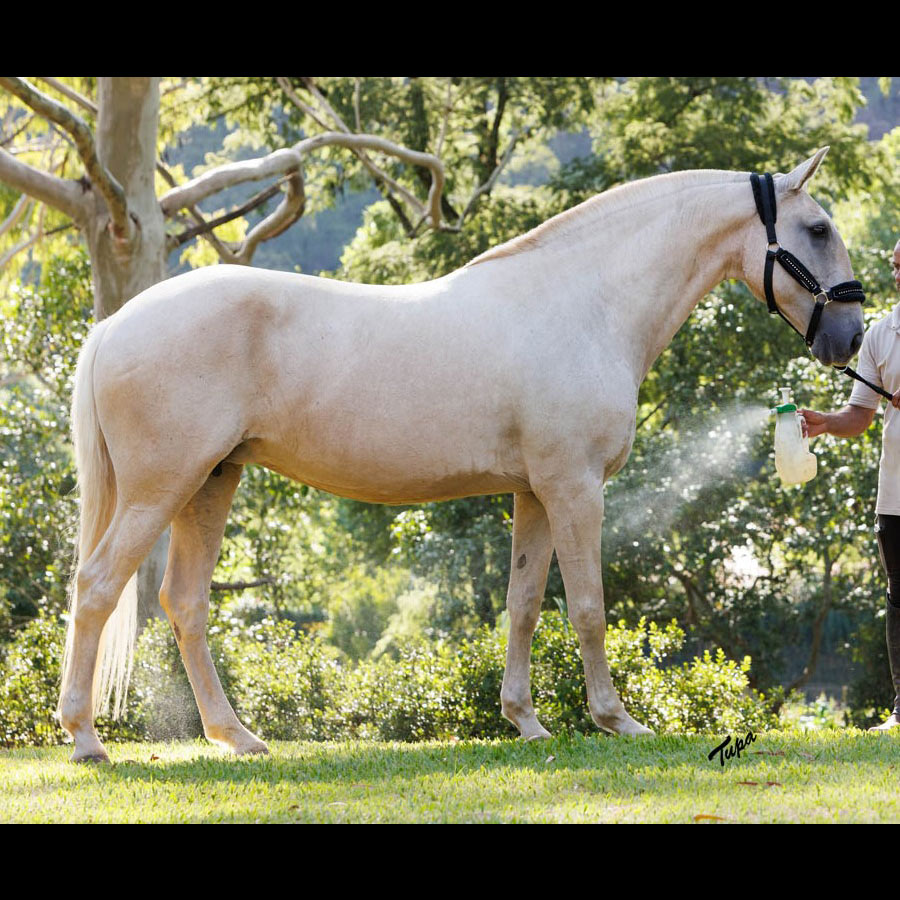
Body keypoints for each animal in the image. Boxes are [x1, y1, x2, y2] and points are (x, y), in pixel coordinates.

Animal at [58, 147, 864, 762]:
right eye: (818, 227)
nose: (851, 337)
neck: (585, 303)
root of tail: (115, 325)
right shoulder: (575, 488)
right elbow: (589, 608)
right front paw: (618, 721)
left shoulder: (534, 492)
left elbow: (524, 606)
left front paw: (528, 723)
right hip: (162, 487)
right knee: (97, 588)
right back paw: (87, 739)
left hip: (211, 482)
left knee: (185, 605)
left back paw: (237, 737)